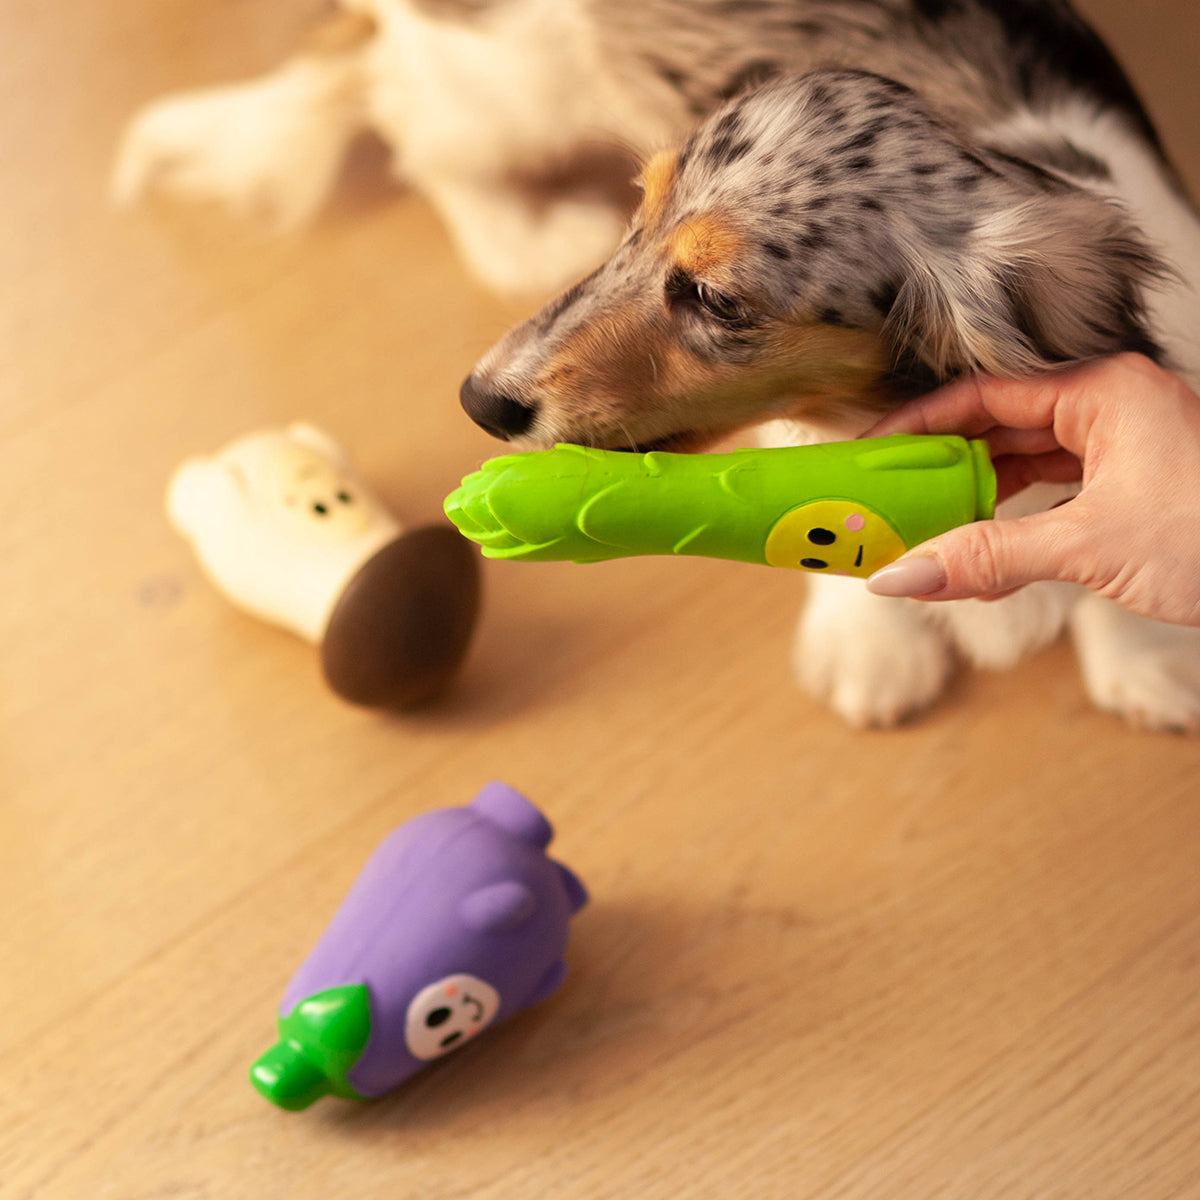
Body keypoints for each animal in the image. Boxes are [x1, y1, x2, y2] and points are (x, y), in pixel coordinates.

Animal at [117, 0, 1200, 729]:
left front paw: (1147, 653)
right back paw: (517, 232)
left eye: (716, 300)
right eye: (637, 213)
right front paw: (868, 646)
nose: (476, 400)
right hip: (510, 81)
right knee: (405, 115)